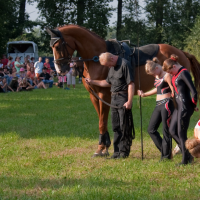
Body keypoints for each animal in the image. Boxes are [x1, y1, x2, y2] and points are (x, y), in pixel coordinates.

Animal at [46, 24, 200, 157]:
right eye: (51, 46)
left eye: (58, 46)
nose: (59, 70)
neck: (96, 59)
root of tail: (181, 53)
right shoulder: (94, 96)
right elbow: (101, 120)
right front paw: (104, 146)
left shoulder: (105, 95)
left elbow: (102, 121)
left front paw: (102, 148)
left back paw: (179, 147)